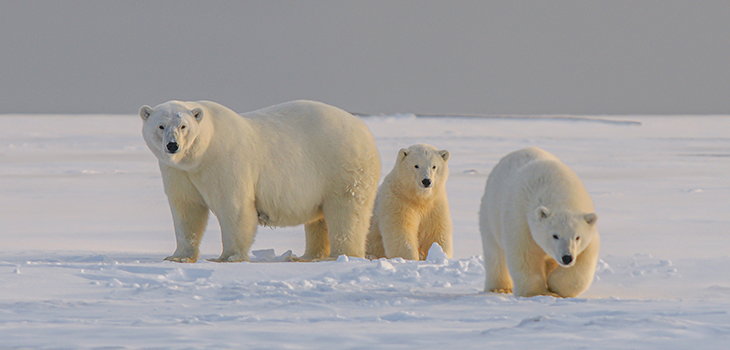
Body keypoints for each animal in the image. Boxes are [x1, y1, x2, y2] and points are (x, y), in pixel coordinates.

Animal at [141, 100, 382, 262]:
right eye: (161, 126)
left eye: (183, 126)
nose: (172, 145)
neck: (201, 154)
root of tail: (365, 130)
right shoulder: (178, 172)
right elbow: (186, 209)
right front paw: (178, 257)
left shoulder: (225, 160)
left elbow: (234, 207)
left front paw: (228, 257)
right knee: (319, 219)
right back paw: (307, 256)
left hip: (342, 166)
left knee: (346, 211)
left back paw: (341, 255)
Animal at [478, 148, 596, 298]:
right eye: (555, 235)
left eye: (577, 237)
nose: (567, 258)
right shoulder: (521, 218)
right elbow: (524, 254)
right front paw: (537, 292)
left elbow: (585, 258)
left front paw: (555, 286)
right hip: (489, 213)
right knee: (494, 252)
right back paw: (499, 288)